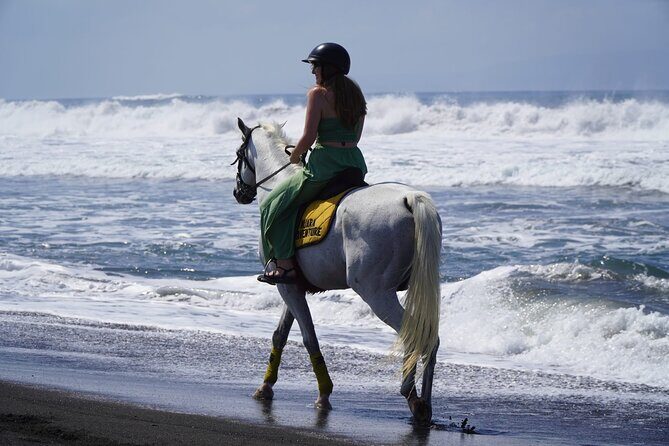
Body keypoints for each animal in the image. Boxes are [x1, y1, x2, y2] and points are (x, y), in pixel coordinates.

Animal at [231, 118, 443, 424]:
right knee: (429, 338)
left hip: (376, 293)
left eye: (238, 154)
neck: (279, 181)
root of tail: (409, 198)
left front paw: (324, 394)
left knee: (412, 334)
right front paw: (266, 386)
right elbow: (280, 334)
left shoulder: (286, 286)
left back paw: (412, 396)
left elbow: (309, 338)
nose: (239, 193)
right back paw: (424, 404)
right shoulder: (292, 284)